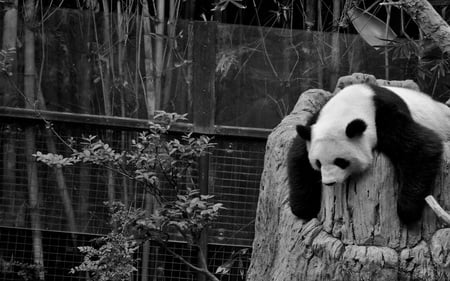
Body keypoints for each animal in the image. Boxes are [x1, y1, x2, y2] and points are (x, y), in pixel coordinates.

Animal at [286, 82, 450, 223]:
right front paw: (302, 208)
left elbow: (420, 147)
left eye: (341, 161)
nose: (329, 182)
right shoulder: (315, 123)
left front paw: (407, 211)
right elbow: (298, 156)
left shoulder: (385, 116)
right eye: (318, 163)